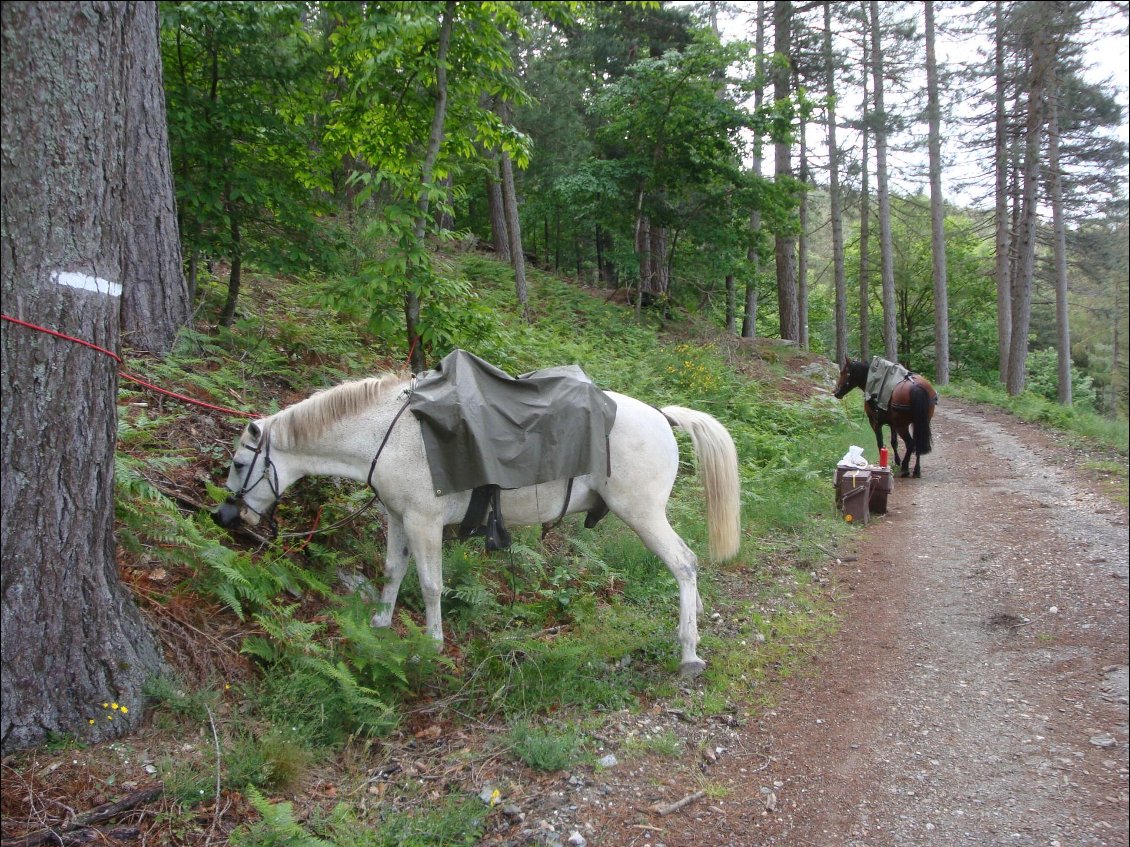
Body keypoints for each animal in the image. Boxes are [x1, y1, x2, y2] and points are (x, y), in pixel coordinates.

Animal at [213, 370, 741, 677]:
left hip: (643, 514)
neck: (389, 435)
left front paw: (431, 645)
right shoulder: (397, 518)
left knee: (685, 564)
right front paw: (380, 625)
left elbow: (430, 584)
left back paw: (689, 653)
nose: (224, 516)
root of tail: (661, 416)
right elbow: (393, 572)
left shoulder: (424, 522)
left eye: (239, 464)